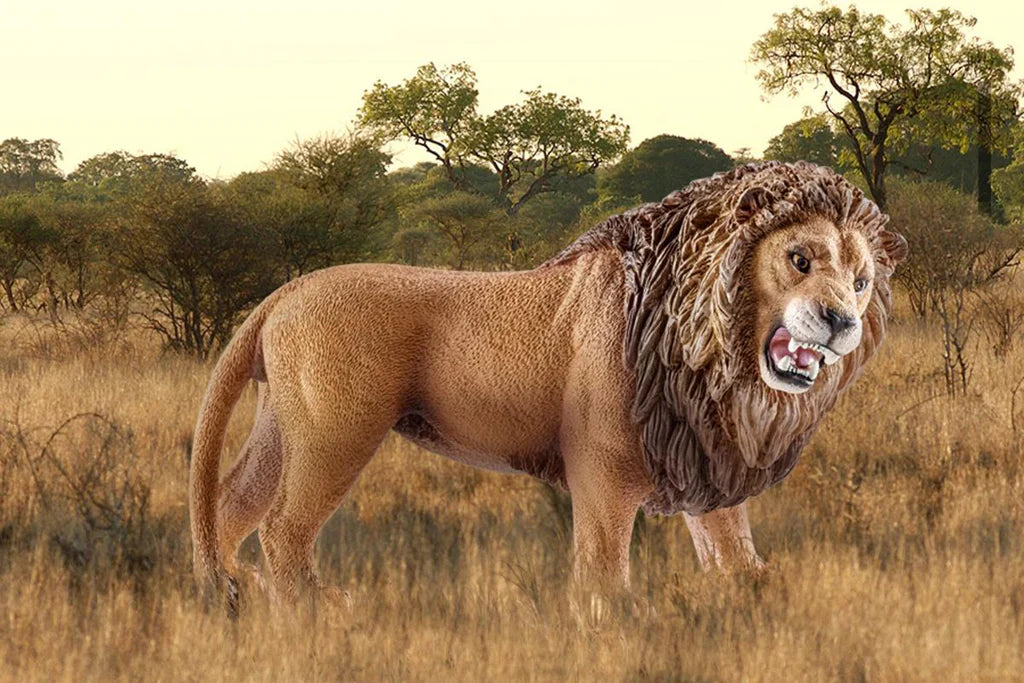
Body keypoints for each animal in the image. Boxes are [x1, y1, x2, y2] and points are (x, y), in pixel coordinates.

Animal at [189, 161, 907, 606]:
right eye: (799, 259)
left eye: (861, 281)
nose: (842, 321)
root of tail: (284, 292)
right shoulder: (604, 467)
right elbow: (602, 563)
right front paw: (614, 624)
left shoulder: (703, 454)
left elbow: (729, 541)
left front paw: (752, 591)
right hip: (336, 434)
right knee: (282, 525)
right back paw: (312, 609)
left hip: (283, 425)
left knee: (231, 503)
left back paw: (237, 593)